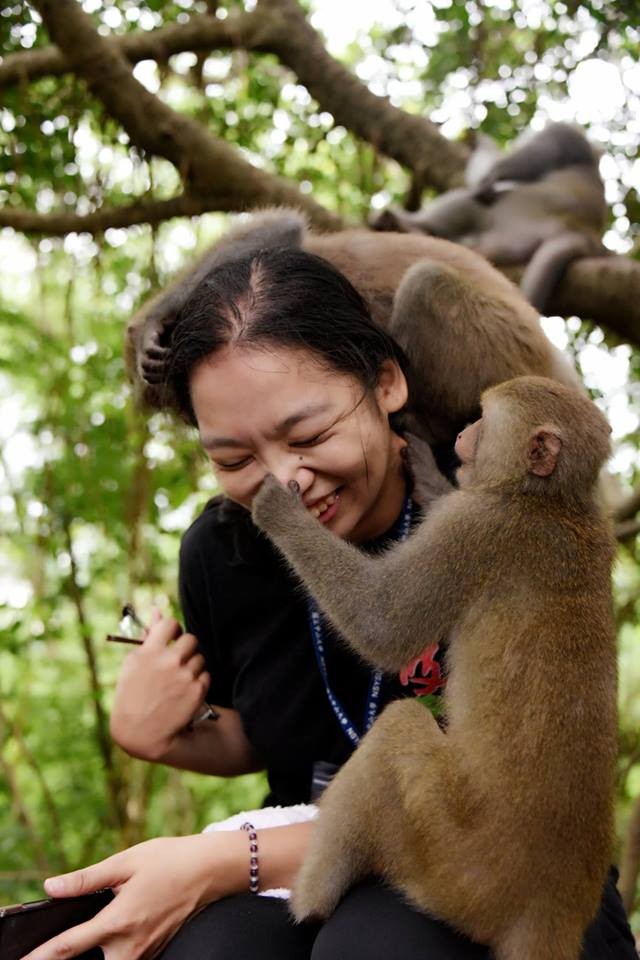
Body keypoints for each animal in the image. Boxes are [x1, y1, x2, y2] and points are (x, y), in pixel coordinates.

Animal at [252, 376, 616, 960]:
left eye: (485, 418)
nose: (463, 434)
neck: (552, 501)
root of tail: (551, 908)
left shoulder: (477, 528)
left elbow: (383, 622)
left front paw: (276, 509)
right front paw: (423, 466)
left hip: (452, 857)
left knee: (398, 728)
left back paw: (309, 900)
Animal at [370, 122, 604, 314]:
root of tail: (583, 233)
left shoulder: (564, 135)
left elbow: (498, 172)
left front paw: (482, 145)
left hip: (520, 216)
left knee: (475, 201)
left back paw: (410, 224)